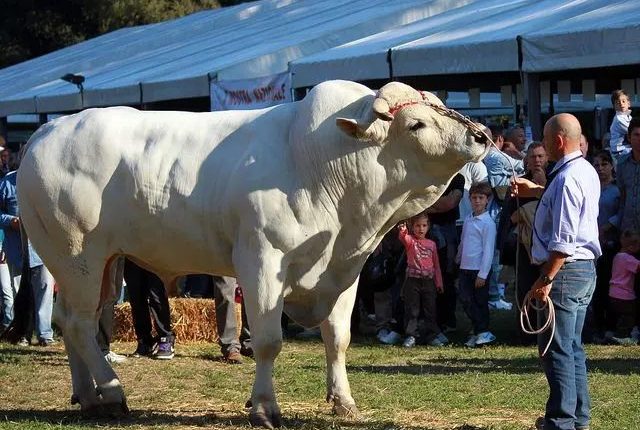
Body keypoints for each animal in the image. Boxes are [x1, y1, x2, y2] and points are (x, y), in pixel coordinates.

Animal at [17, 80, 488, 426]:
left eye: (441, 106)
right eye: (416, 125)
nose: (481, 135)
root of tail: (47, 131)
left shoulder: (345, 272)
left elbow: (338, 338)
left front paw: (343, 401)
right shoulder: (263, 261)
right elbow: (267, 341)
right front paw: (264, 407)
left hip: (101, 264)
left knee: (69, 319)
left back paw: (87, 395)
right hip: (77, 255)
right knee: (80, 323)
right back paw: (112, 393)